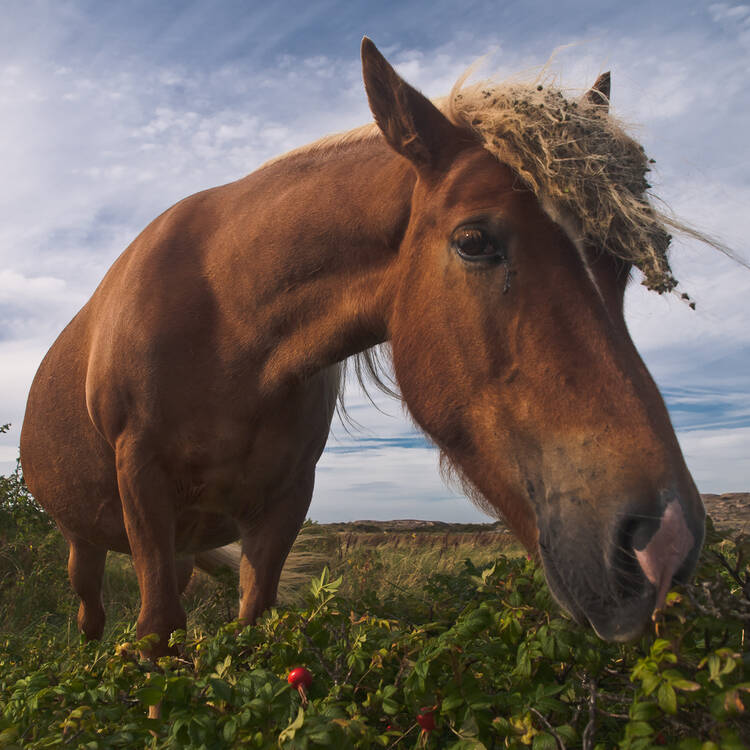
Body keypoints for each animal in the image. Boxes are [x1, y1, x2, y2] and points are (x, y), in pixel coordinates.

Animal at [20, 38, 705, 654]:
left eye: (619, 264)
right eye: (474, 241)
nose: (664, 542)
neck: (228, 328)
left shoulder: (284, 503)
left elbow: (253, 624)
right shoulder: (142, 482)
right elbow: (156, 632)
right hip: (84, 542)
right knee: (90, 614)